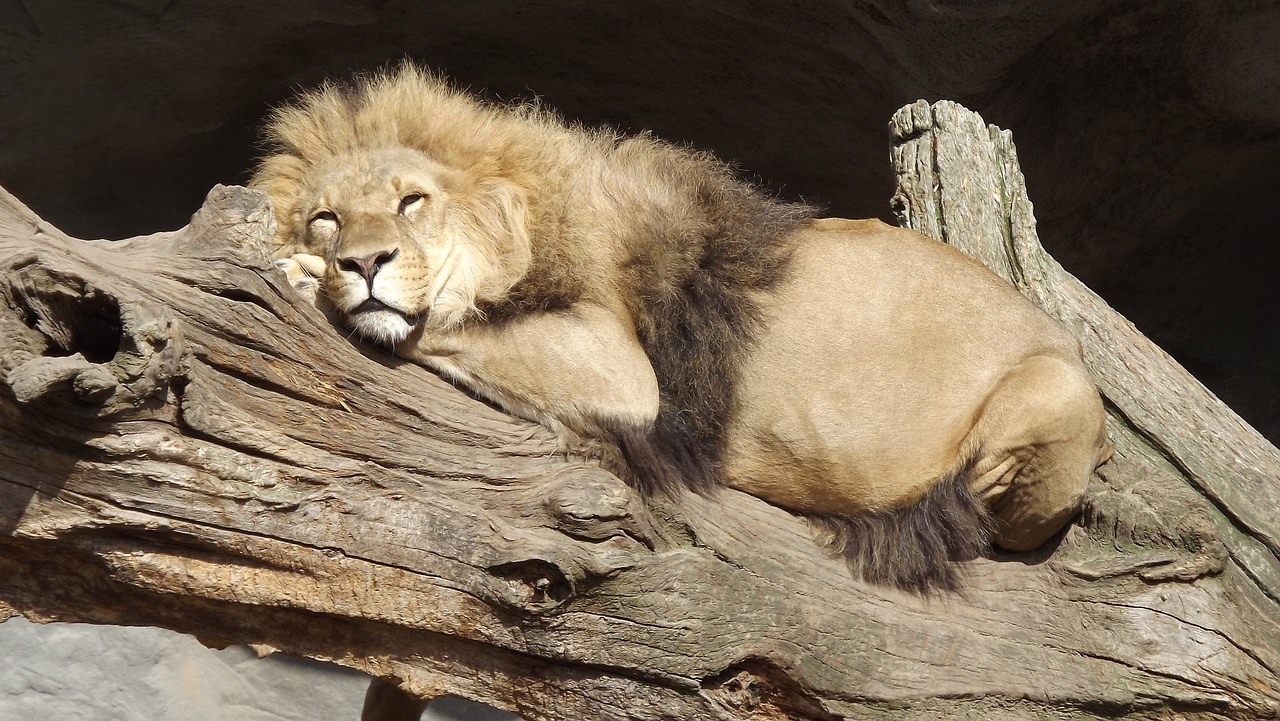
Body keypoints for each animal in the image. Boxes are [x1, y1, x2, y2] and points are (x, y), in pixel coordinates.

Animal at [251, 64, 1109, 592]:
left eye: (411, 201)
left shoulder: (624, 369)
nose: (362, 262)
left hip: (1058, 391)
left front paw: (308, 280)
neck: (531, 215)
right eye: (327, 216)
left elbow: (460, 328)